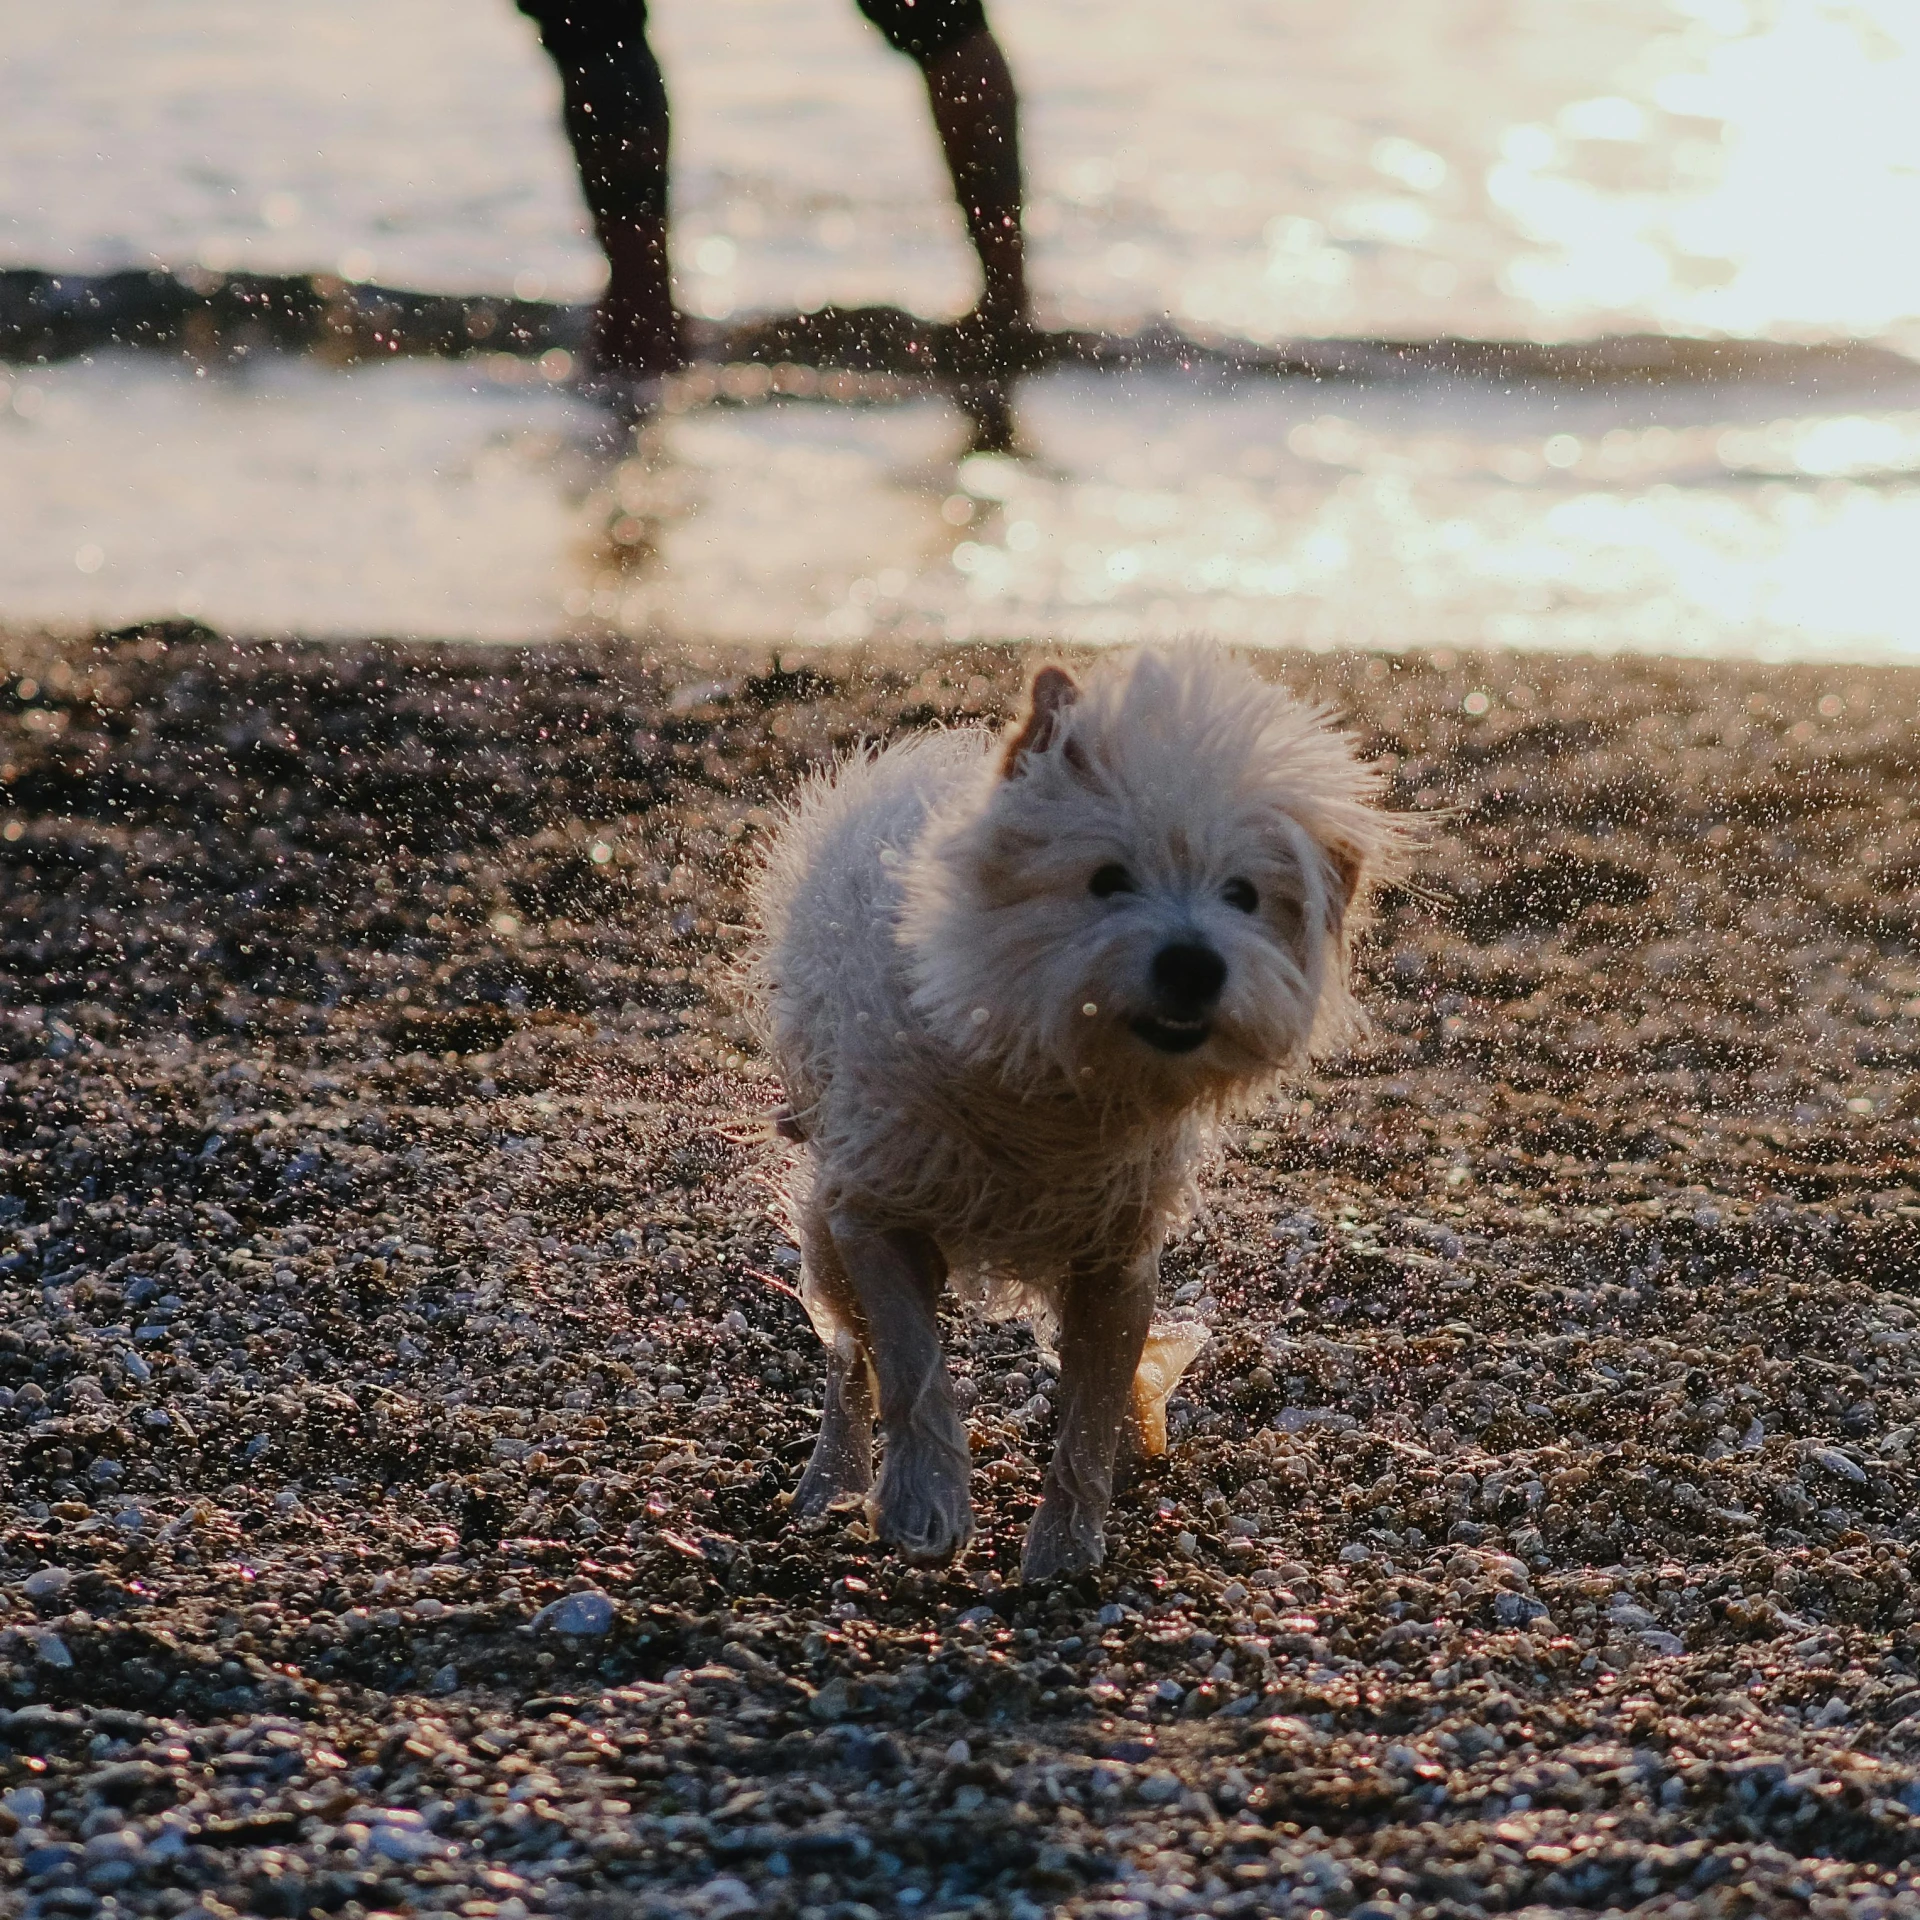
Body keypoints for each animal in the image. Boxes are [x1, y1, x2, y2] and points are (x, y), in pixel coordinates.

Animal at [748, 652, 1397, 1582]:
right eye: (1106, 880)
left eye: (1243, 895)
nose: (1195, 966)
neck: (1049, 1082)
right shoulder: (873, 1206)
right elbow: (909, 1360)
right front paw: (924, 1502)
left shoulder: (1116, 1254)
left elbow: (1090, 1403)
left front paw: (1064, 1546)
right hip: (829, 1225)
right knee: (848, 1356)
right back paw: (831, 1480)